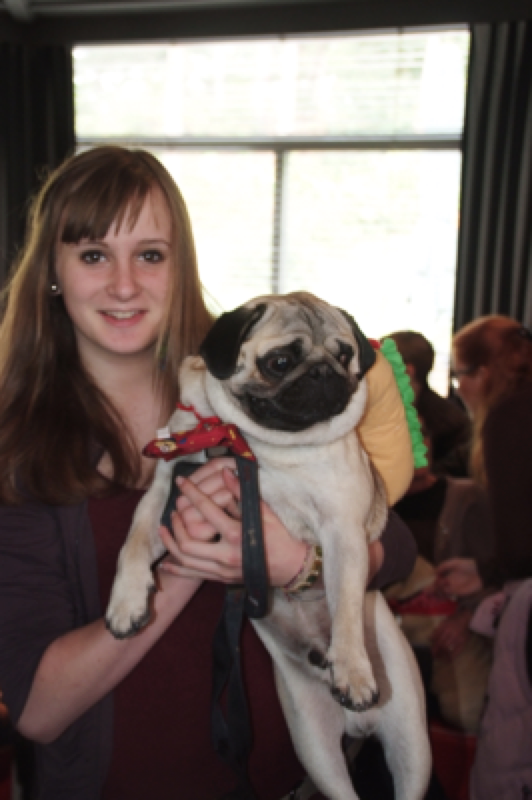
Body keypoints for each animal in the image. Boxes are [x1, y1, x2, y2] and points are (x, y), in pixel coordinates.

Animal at [106, 291, 431, 800]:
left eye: (344, 356)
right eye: (280, 362)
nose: (324, 373)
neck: (256, 444)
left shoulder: (342, 529)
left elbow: (345, 611)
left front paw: (353, 670)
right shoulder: (165, 490)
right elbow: (134, 545)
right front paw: (127, 604)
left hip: (412, 745)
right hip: (315, 749)